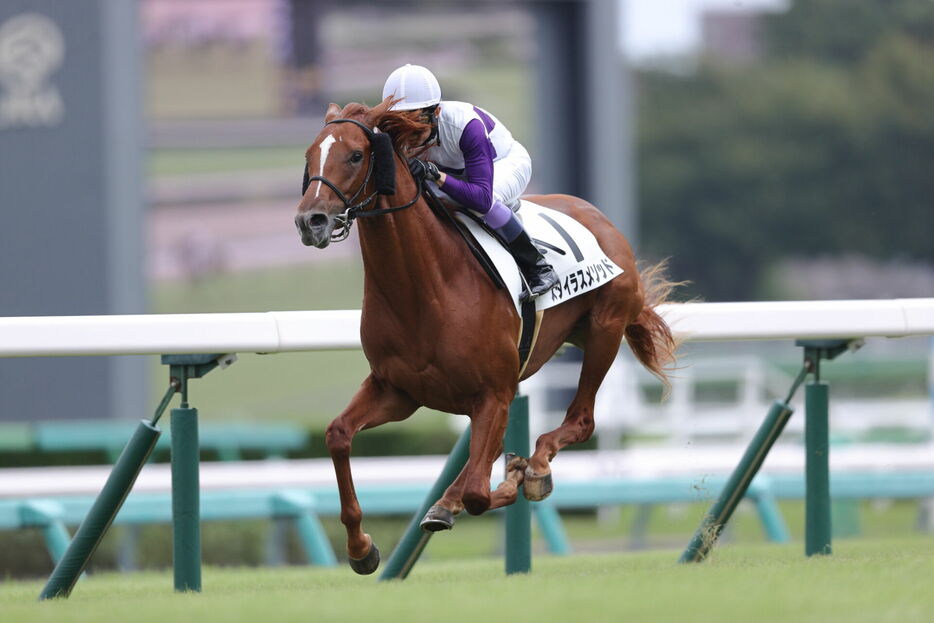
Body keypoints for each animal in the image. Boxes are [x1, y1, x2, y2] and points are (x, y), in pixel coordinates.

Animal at [296, 98, 676, 576]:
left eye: (355, 155)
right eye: (309, 156)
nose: (310, 221)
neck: (425, 288)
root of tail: (600, 218)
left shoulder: (492, 392)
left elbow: (481, 490)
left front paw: (514, 479)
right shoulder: (397, 391)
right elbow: (338, 434)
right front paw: (361, 548)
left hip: (605, 330)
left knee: (581, 421)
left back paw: (533, 467)